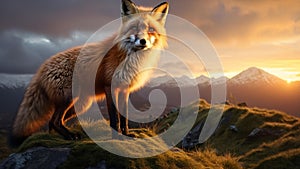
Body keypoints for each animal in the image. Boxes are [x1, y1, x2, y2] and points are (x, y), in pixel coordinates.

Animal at [11, 0, 169, 143]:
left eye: (151, 30)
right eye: (135, 28)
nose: (143, 41)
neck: (130, 57)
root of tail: (41, 69)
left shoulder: (125, 89)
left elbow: (124, 117)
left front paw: (127, 134)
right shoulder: (109, 86)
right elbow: (114, 118)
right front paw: (116, 138)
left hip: (79, 105)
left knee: (52, 122)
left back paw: (59, 137)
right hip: (70, 98)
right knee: (55, 120)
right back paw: (70, 136)